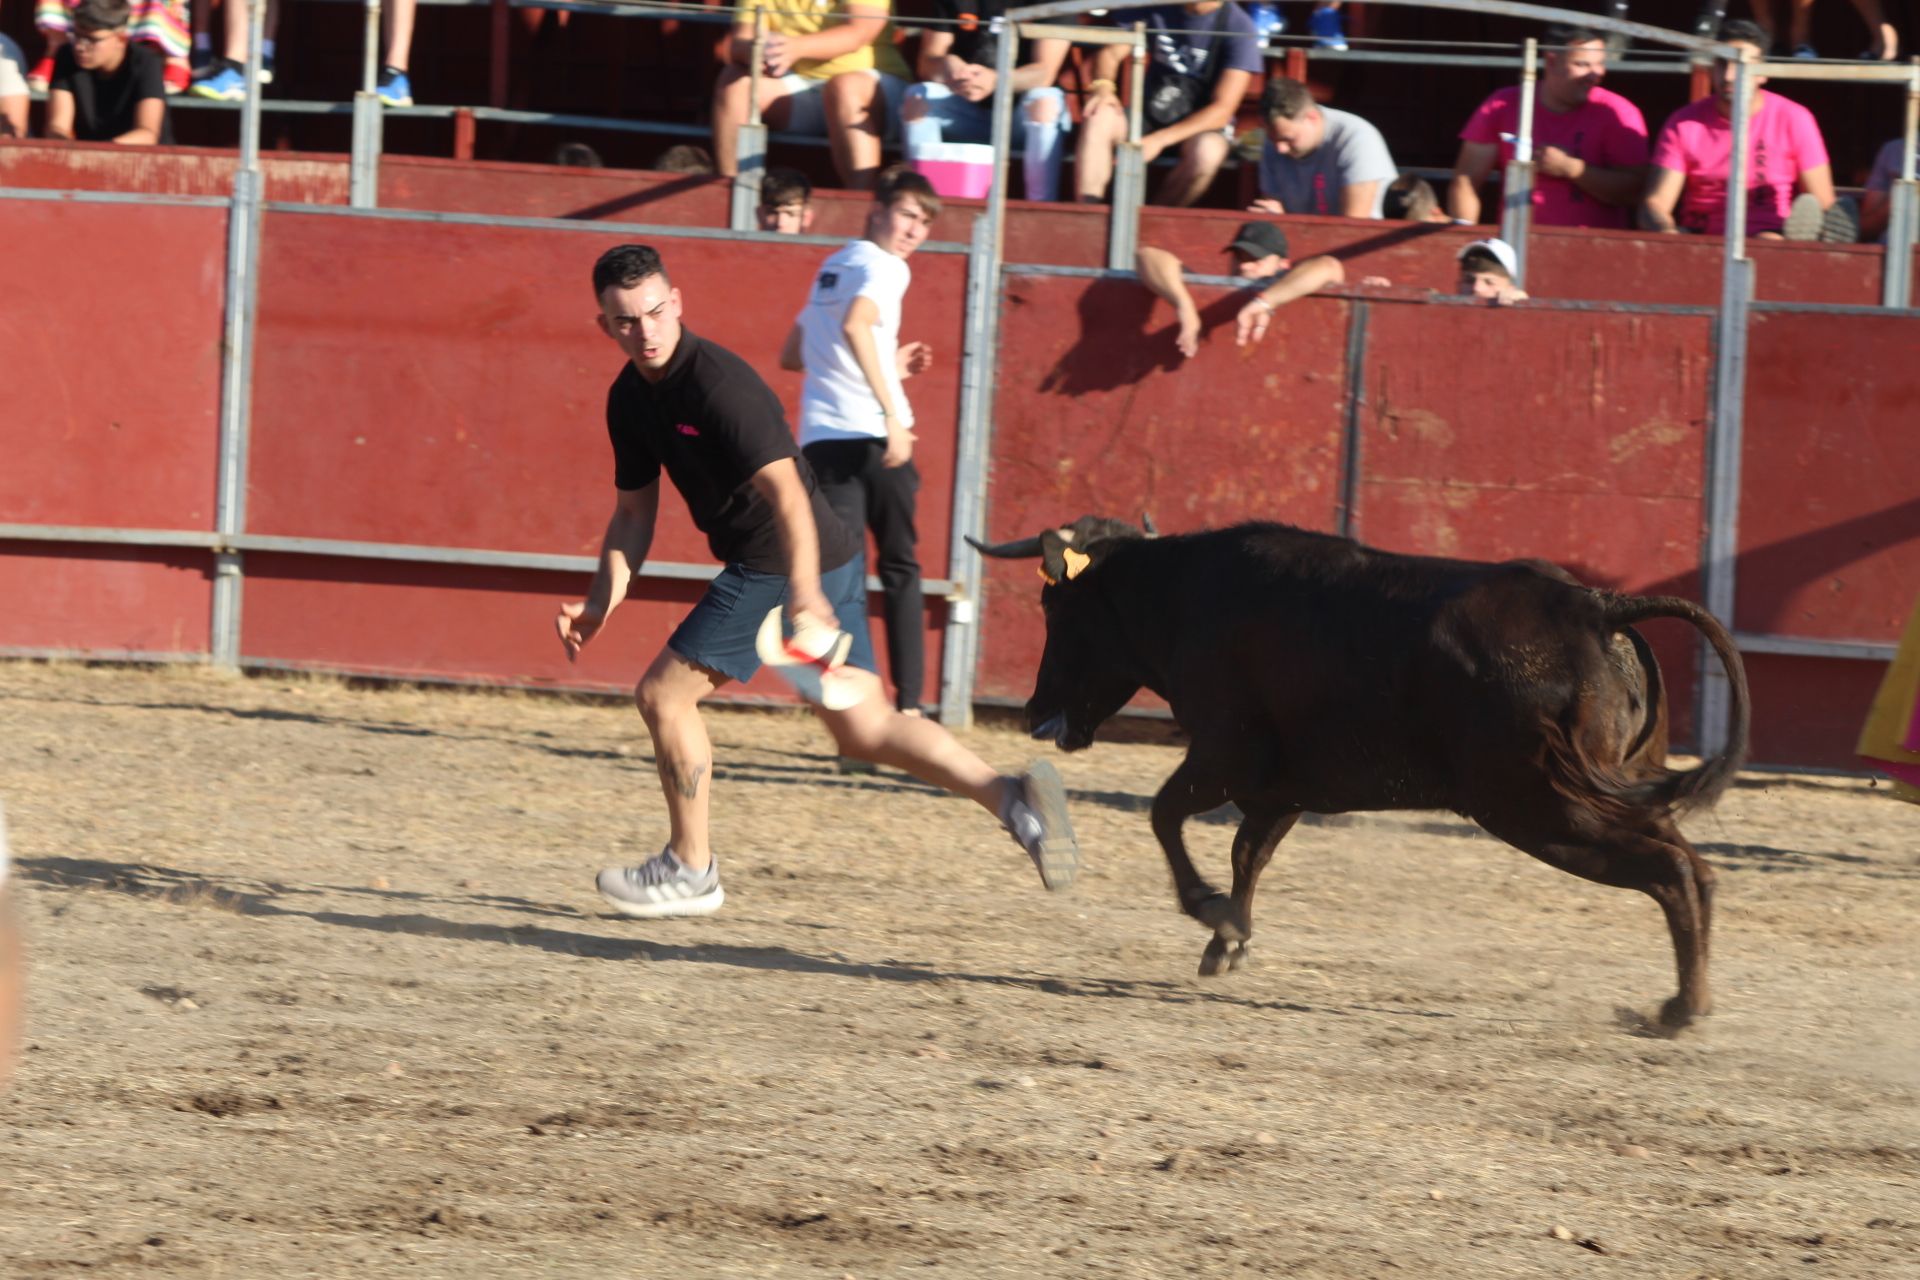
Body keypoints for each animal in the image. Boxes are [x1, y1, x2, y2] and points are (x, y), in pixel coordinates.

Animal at [983, 514, 1751, 1028]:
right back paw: (1688, 1001)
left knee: (1670, 870)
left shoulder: (1224, 755)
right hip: (1612, 791)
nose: (1034, 708)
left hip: (1541, 806)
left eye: (1057, 608)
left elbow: (1166, 814)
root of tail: (1597, 607)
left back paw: (1681, 1010)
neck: (1180, 596)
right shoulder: (1282, 789)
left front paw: (1216, 917)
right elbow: (1248, 853)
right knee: (1697, 869)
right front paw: (1228, 942)